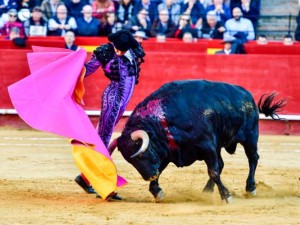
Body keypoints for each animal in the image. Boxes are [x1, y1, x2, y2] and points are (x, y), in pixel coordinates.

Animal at [109, 80, 288, 202]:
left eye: (140, 155)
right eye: (130, 161)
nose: (149, 177)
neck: (163, 121)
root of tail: (247, 94)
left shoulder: (207, 147)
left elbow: (213, 171)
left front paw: (226, 196)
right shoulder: (168, 151)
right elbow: (161, 169)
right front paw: (157, 191)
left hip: (250, 136)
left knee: (252, 159)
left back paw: (250, 188)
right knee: (223, 163)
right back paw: (207, 191)